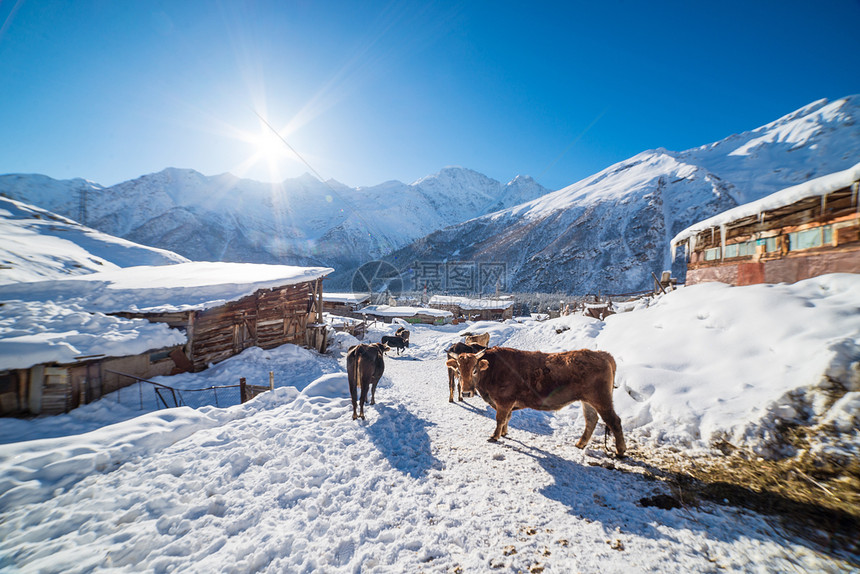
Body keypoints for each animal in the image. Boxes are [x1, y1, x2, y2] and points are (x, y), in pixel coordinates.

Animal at [450, 346, 624, 460]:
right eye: (458, 370)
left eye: (474, 370)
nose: (465, 392)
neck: (493, 369)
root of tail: (602, 354)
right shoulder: (507, 404)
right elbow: (507, 419)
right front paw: (504, 433)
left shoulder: (504, 401)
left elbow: (500, 419)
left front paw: (495, 436)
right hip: (588, 401)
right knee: (591, 419)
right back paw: (580, 444)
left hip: (601, 399)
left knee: (614, 421)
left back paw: (620, 451)